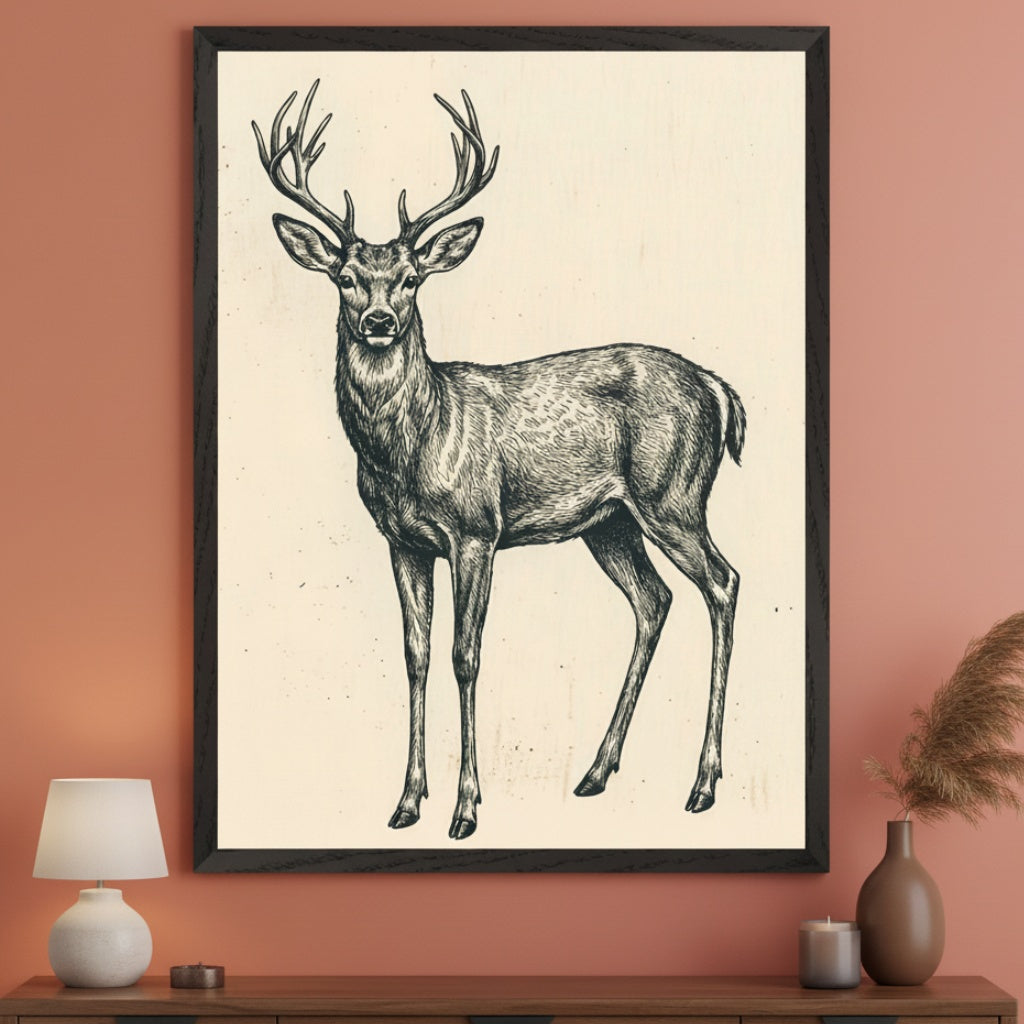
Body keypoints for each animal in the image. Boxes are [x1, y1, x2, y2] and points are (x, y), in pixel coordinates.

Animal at [252, 80, 746, 840]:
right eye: (345, 277)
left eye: (412, 278)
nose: (378, 321)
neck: (415, 446)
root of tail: (718, 387)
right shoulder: (402, 541)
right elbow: (416, 656)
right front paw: (406, 801)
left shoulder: (476, 529)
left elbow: (465, 656)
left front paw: (465, 807)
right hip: (610, 522)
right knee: (654, 600)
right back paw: (597, 772)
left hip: (674, 496)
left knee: (722, 583)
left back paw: (702, 784)